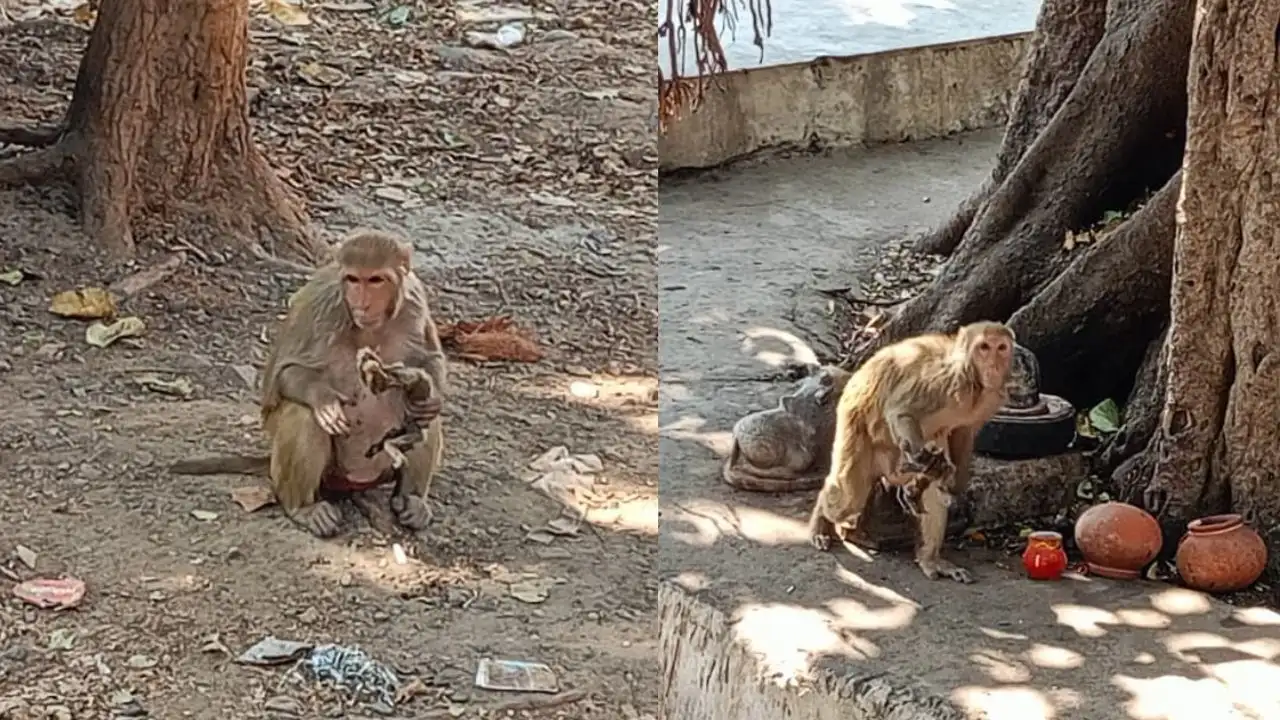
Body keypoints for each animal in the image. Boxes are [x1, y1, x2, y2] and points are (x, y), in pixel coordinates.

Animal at [170, 229, 448, 538]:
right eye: (353, 279)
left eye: (375, 280)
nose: (361, 303)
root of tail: (356, 480)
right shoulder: (322, 303)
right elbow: (282, 374)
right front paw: (324, 401)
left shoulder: (414, 299)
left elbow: (429, 359)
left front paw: (427, 395)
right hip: (324, 473)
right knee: (302, 414)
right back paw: (302, 508)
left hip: (381, 467)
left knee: (422, 420)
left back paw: (412, 499)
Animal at [808, 321, 1015, 583]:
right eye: (984, 348)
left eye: (1001, 348)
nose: (994, 365)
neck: (974, 383)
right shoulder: (946, 381)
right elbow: (901, 411)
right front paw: (924, 459)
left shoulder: (990, 399)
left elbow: (962, 433)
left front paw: (955, 481)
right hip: (853, 425)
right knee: (849, 496)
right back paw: (822, 519)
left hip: (894, 462)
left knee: (931, 476)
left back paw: (930, 559)